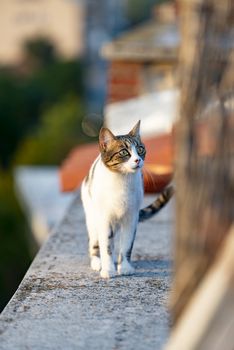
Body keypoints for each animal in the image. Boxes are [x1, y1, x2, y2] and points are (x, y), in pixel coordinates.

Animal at [81, 121, 174, 278]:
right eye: (124, 152)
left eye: (140, 149)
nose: (138, 160)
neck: (122, 180)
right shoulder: (105, 218)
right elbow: (106, 246)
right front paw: (108, 269)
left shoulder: (131, 217)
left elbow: (126, 246)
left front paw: (124, 267)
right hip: (92, 218)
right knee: (95, 242)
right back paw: (97, 262)